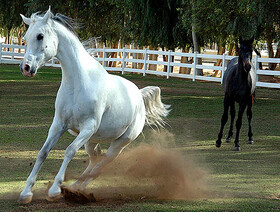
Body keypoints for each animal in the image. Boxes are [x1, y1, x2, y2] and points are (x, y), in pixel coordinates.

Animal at [18, 8, 170, 204]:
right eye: (25, 38)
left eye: (40, 36)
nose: (26, 68)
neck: (78, 83)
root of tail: (138, 94)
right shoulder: (58, 124)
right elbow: (43, 152)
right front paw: (26, 193)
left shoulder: (88, 127)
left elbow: (69, 151)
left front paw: (54, 189)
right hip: (91, 141)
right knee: (95, 161)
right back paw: (75, 188)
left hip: (119, 144)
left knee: (100, 166)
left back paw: (74, 189)